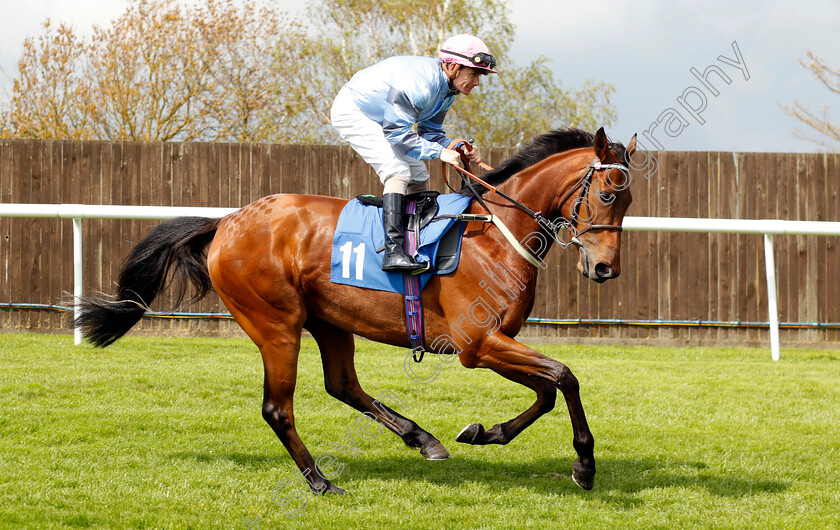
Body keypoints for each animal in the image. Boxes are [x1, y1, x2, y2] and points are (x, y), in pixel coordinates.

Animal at [75, 127, 636, 490]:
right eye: (609, 194)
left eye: (629, 201)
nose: (606, 268)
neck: (496, 235)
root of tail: (228, 221)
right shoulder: (477, 345)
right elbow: (564, 377)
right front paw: (584, 465)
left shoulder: (494, 343)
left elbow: (547, 391)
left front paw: (485, 432)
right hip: (276, 324)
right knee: (278, 408)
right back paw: (321, 481)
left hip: (329, 321)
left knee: (342, 385)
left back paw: (422, 439)